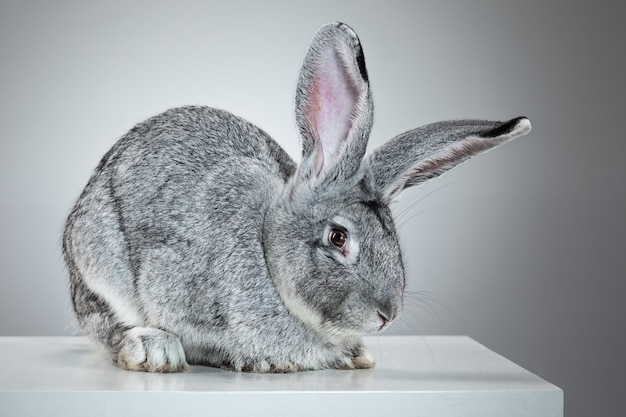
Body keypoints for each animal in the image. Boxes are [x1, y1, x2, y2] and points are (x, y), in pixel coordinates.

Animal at [63, 22, 528, 374]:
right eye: (338, 238)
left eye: (393, 237)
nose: (386, 315)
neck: (267, 252)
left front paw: (355, 356)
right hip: (98, 260)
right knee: (108, 326)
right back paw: (153, 350)